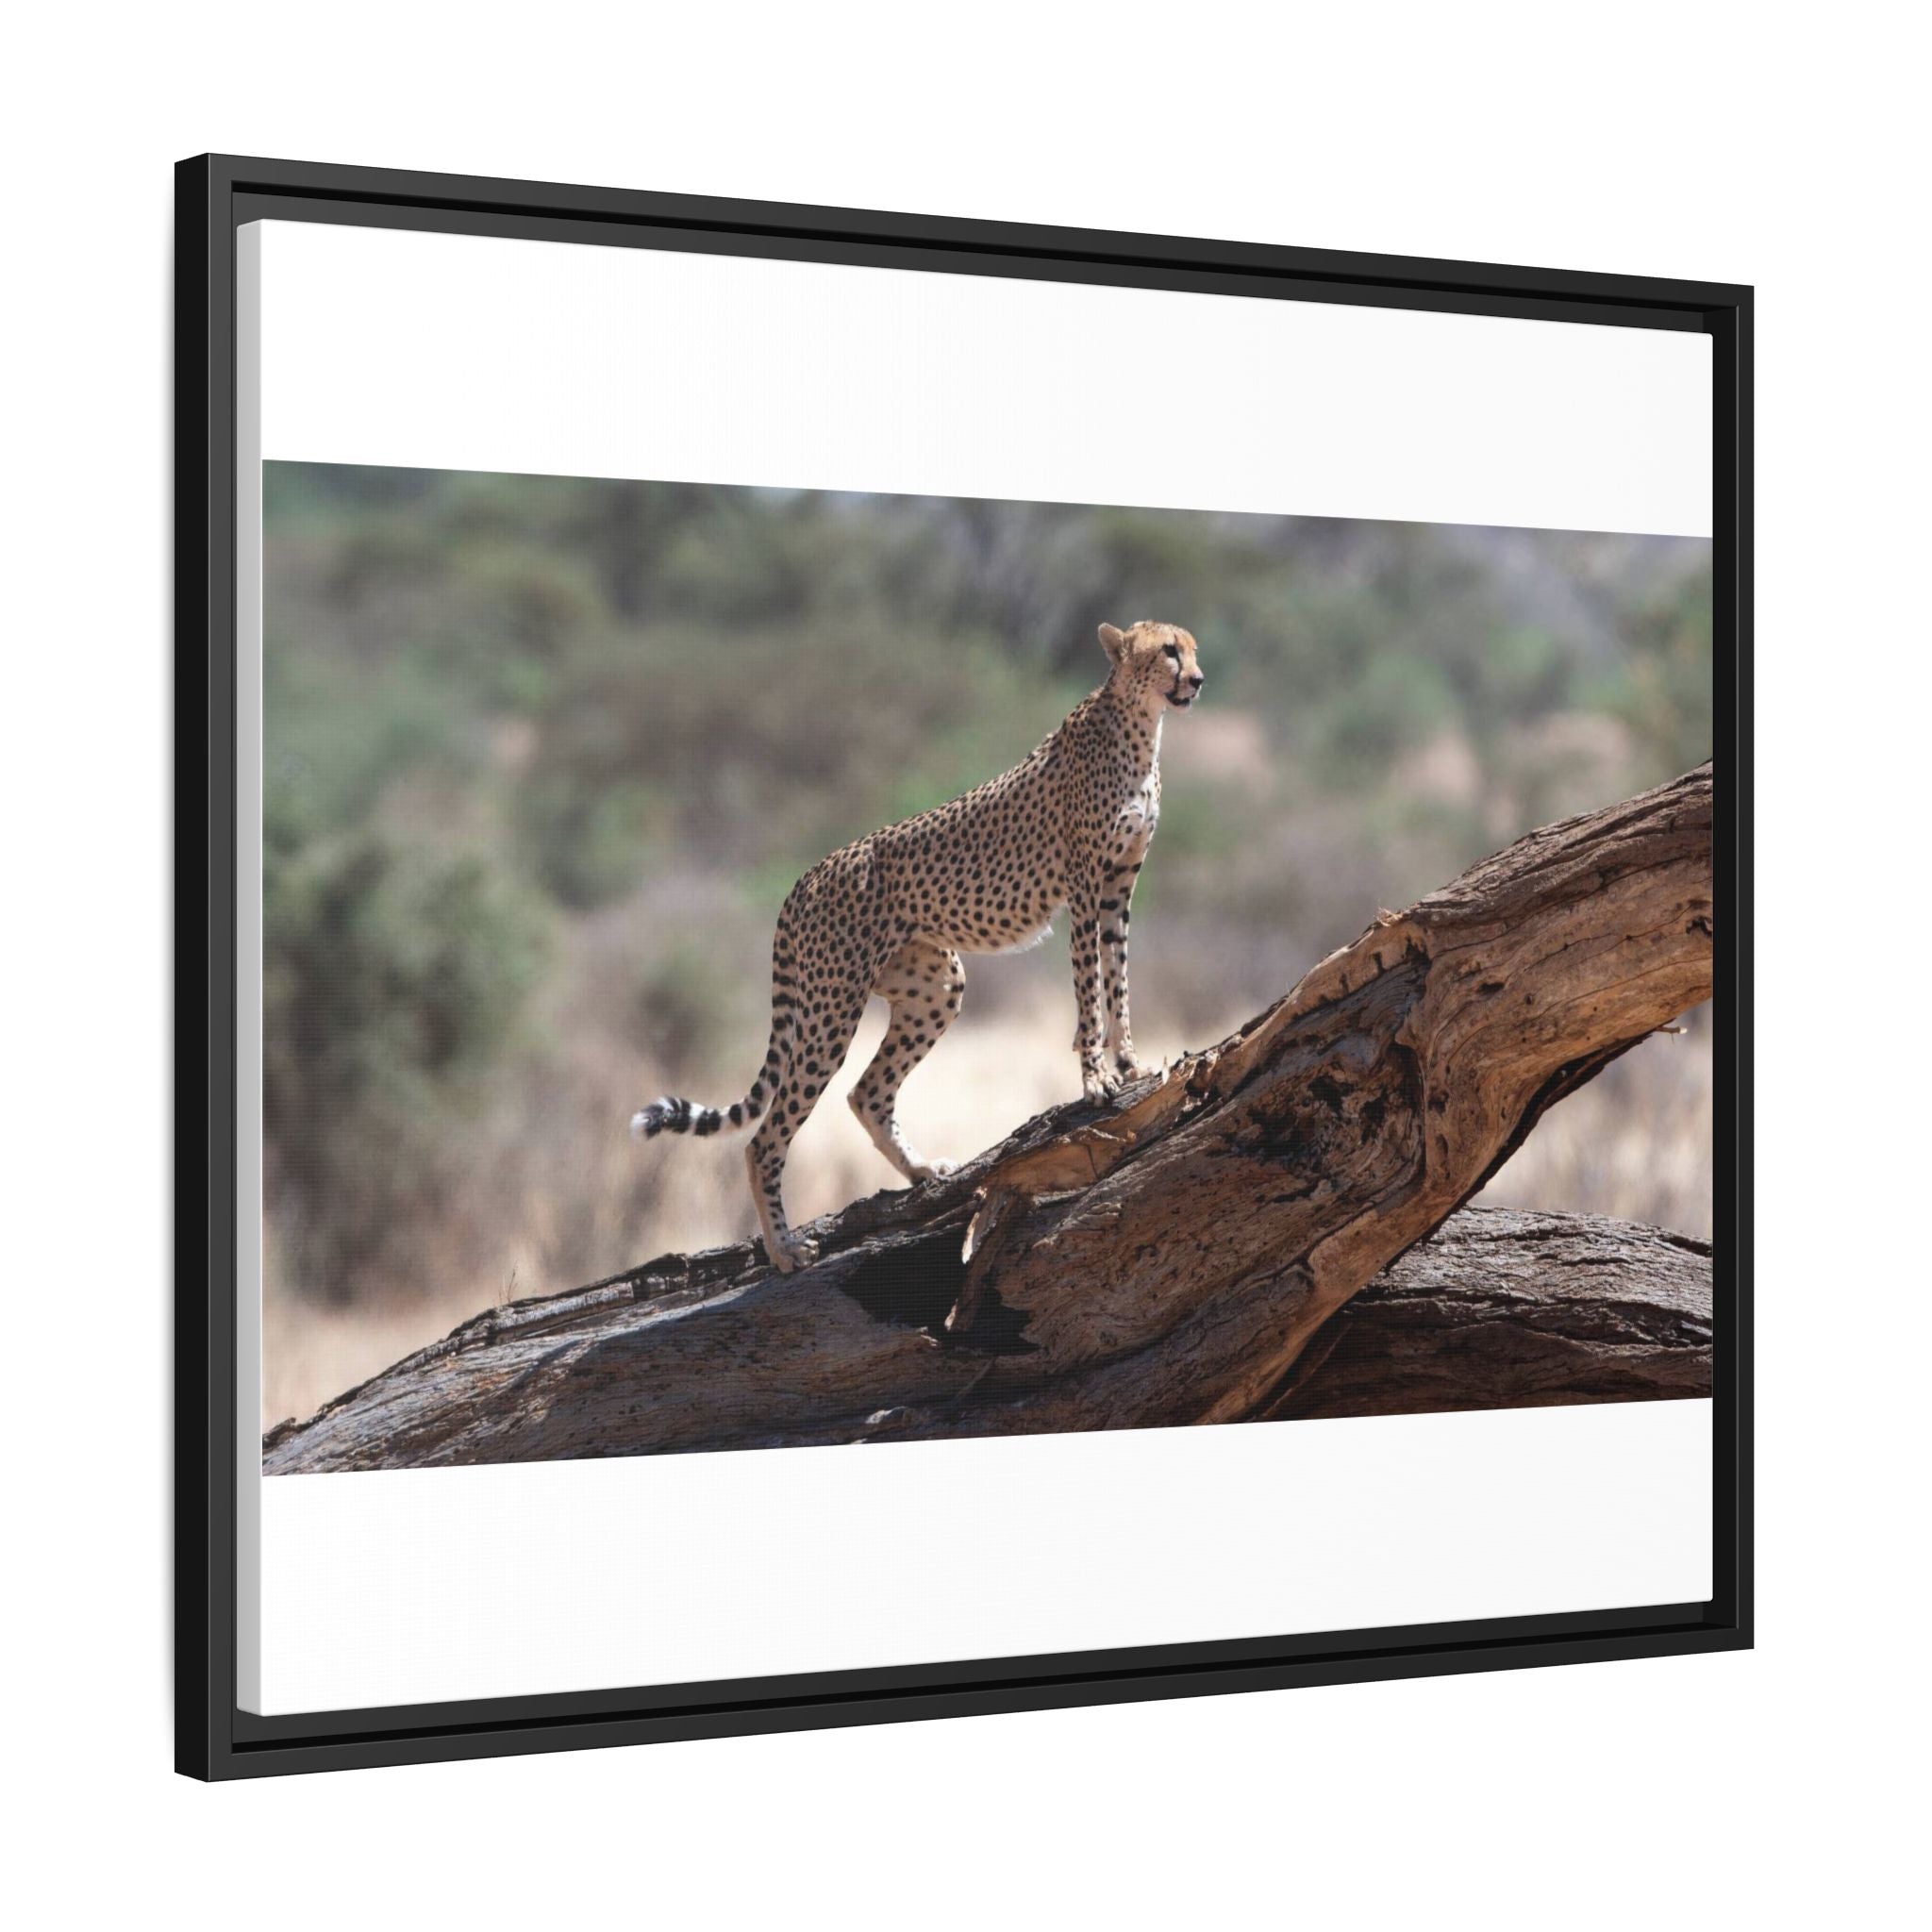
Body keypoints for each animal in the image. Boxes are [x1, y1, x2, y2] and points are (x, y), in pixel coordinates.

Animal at [631, 619, 1205, 1272]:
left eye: (1192, 648)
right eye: (1168, 651)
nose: (1197, 680)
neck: (1140, 724)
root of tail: (807, 875)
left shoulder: (1118, 888)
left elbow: (1118, 979)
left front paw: (1131, 1063)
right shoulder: (1084, 886)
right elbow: (1089, 988)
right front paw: (1095, 1078)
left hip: (935, 987)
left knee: (866, 1093)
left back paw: (922, 1170)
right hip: (831, 1008)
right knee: (766, 1136)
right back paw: (784, 1248)